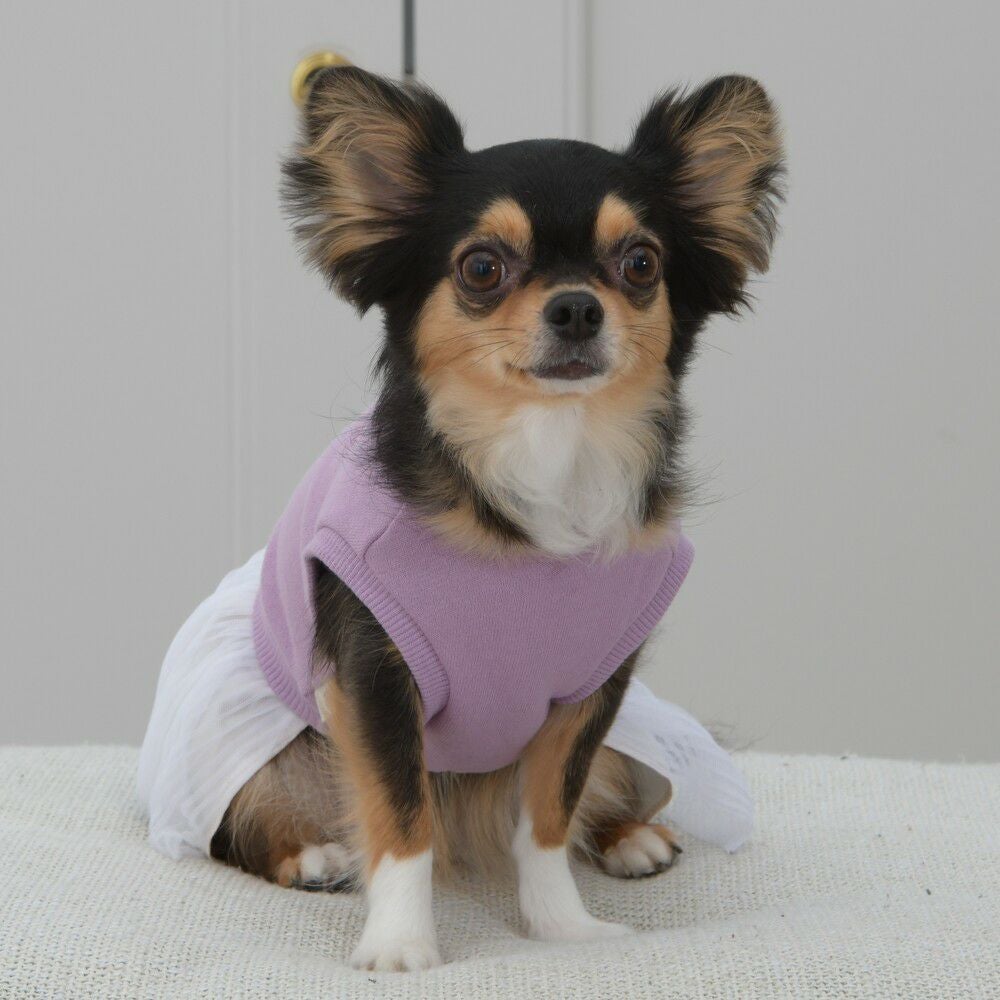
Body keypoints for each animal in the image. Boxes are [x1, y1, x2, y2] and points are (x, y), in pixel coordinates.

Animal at [207, 66, 783, 971]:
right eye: (482, 268)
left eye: (641, 263)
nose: (578, 307)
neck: (544, 451)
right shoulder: (375, 681)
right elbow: (401, 817)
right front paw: (401, 945)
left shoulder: (590, 692)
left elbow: (547, 817)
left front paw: (562, 928)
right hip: (262, 746)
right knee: (243, 824)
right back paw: (309, 856)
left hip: (637, 740)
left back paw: (632, 837)